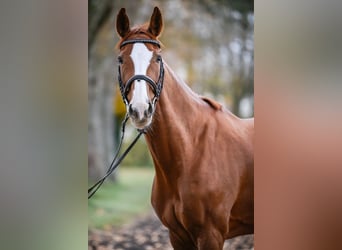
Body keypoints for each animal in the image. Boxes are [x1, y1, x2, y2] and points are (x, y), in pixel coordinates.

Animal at [116, 6, 252, 249]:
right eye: (121, 59)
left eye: (158, 58)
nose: (140, 110)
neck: (192, 150)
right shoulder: (177, 236)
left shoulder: (211, 235)